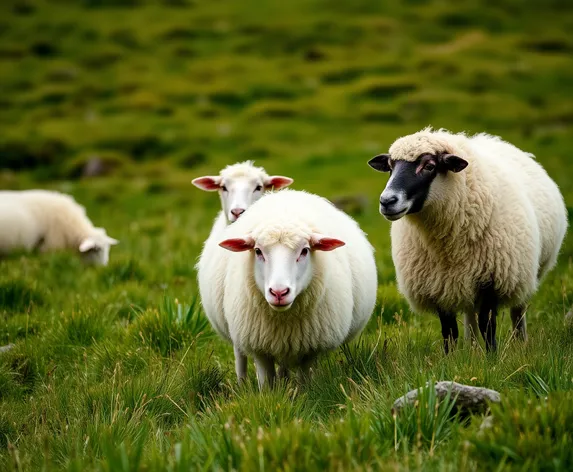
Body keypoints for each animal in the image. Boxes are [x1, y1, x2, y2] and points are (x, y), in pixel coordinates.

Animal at [194, 188, 378, 388]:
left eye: (305, 250)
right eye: (257, 251)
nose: (279, 292)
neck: (283, 318)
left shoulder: (309, 348)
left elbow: (304, 379)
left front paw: (303, 391)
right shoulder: (258, 346)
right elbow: (266, 381)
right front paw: (270, 394)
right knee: (240, 358)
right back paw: (242, 385)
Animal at [366, 127, 568, 352]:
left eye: (429, 166)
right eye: (391, 167)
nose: (387, 201)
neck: (446, 246)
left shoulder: (493, 279)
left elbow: (487, 325)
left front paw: (492, 356)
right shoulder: (437, 284)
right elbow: (449, 330)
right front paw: (451, 357)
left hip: (525, 271)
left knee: (518, 309)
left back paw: (519, 341)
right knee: (470, 313)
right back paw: (471, 347)